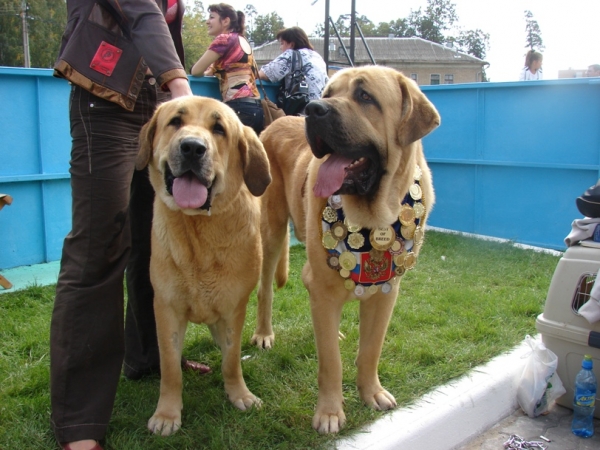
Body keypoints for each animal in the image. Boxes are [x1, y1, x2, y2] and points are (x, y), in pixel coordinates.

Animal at [137, 96, 270, 436]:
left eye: (219, 129)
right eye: (175, 122)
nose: (192, 148)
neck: (197, 231)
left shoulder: (234, 309)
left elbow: (231, 360)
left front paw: (239, 395)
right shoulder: (166, 308)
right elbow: (170, 367)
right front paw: (167, 414)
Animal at [253, 65, 440, 434]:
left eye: (365, 96)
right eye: (328, 94)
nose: (313, 109)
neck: (372, 220)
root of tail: (275, 122)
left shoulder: (386, 293)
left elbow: (370, 350)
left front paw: (372, 393)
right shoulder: (323, 289)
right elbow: (331, 362)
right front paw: (329, 412)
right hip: (272, 232)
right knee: (266, 289)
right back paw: (264, 333)